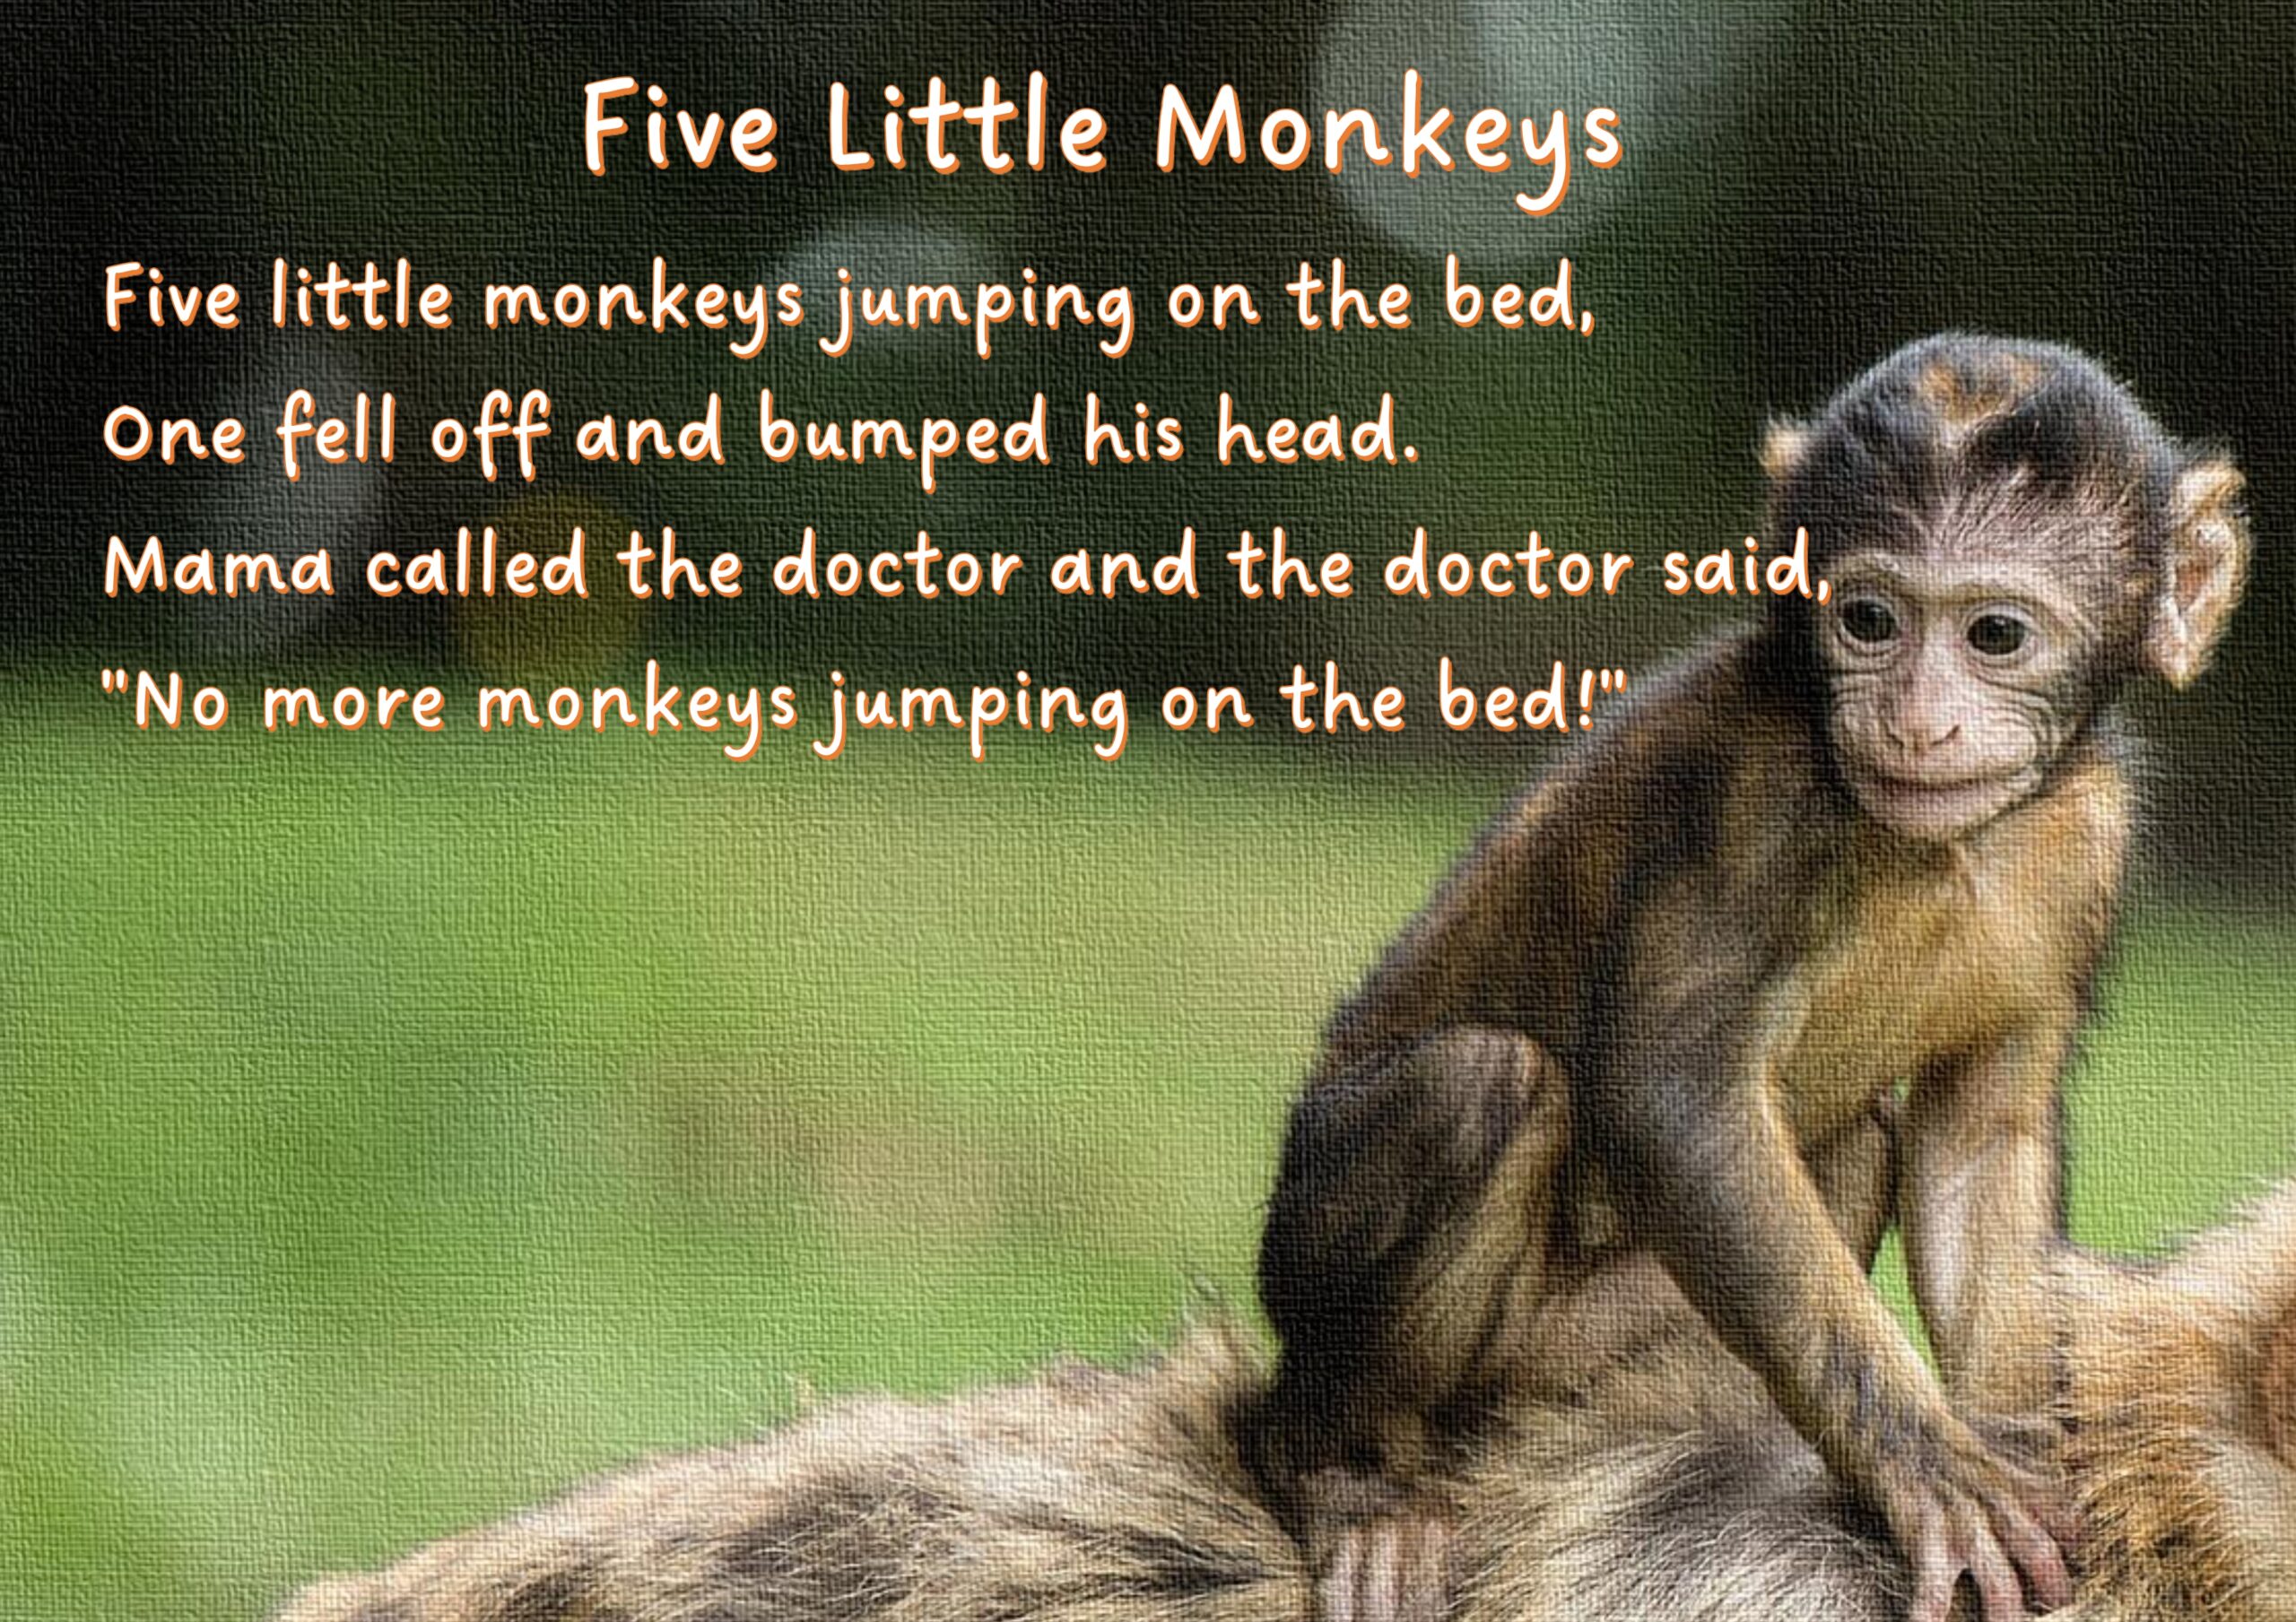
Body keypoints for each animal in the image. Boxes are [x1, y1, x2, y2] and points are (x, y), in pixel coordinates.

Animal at [1247, 332, 2252, 1622]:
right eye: (1867, 619)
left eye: (1994, 636)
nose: (1915, 722)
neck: (1941, 848)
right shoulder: (1757, 798)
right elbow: (1672, 1102)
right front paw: (1935, 1478)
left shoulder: (2090, 840)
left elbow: (1979, 1142)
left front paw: (2049, 1469)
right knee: (1480, 1084)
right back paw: (1335, 1470)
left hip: (1574, 1354)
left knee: (1858, 1140)